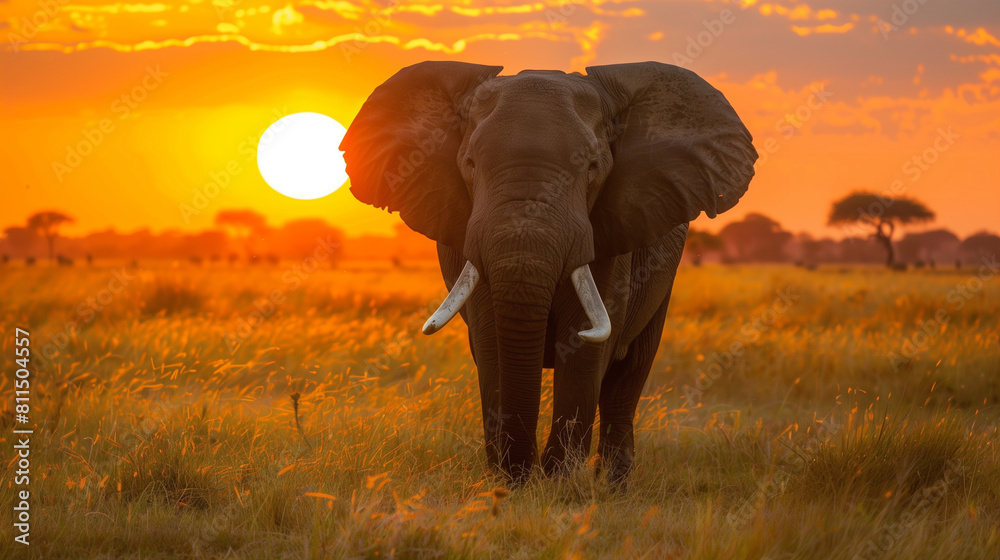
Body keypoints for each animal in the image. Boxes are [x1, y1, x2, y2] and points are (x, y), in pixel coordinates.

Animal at [340, 61, 757, 484]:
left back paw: (613, 486)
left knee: (629, 375)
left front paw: (558, 484)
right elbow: (491, 341)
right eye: (470, 165)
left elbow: (585, 346)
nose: (524, 475)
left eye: (592, 167)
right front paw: (511, 484)